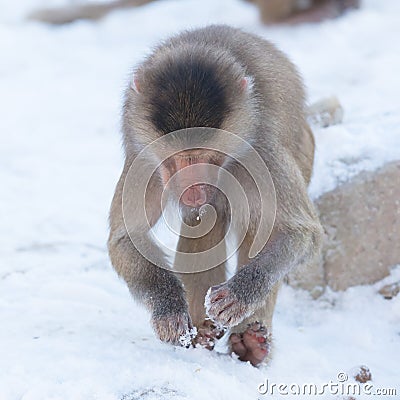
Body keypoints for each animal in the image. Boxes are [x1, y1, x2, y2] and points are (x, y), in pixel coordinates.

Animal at [108, 25, 324, 366]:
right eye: (180, 157)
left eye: (205, 156)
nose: (193, 189)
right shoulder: (144, 157)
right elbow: (126, 238)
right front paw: (169, 309)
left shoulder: (261, 151)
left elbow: (299, 233)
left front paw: (238, 295)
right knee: (204, 219)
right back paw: (201, 334)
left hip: (304, 150)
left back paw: (250, 343)